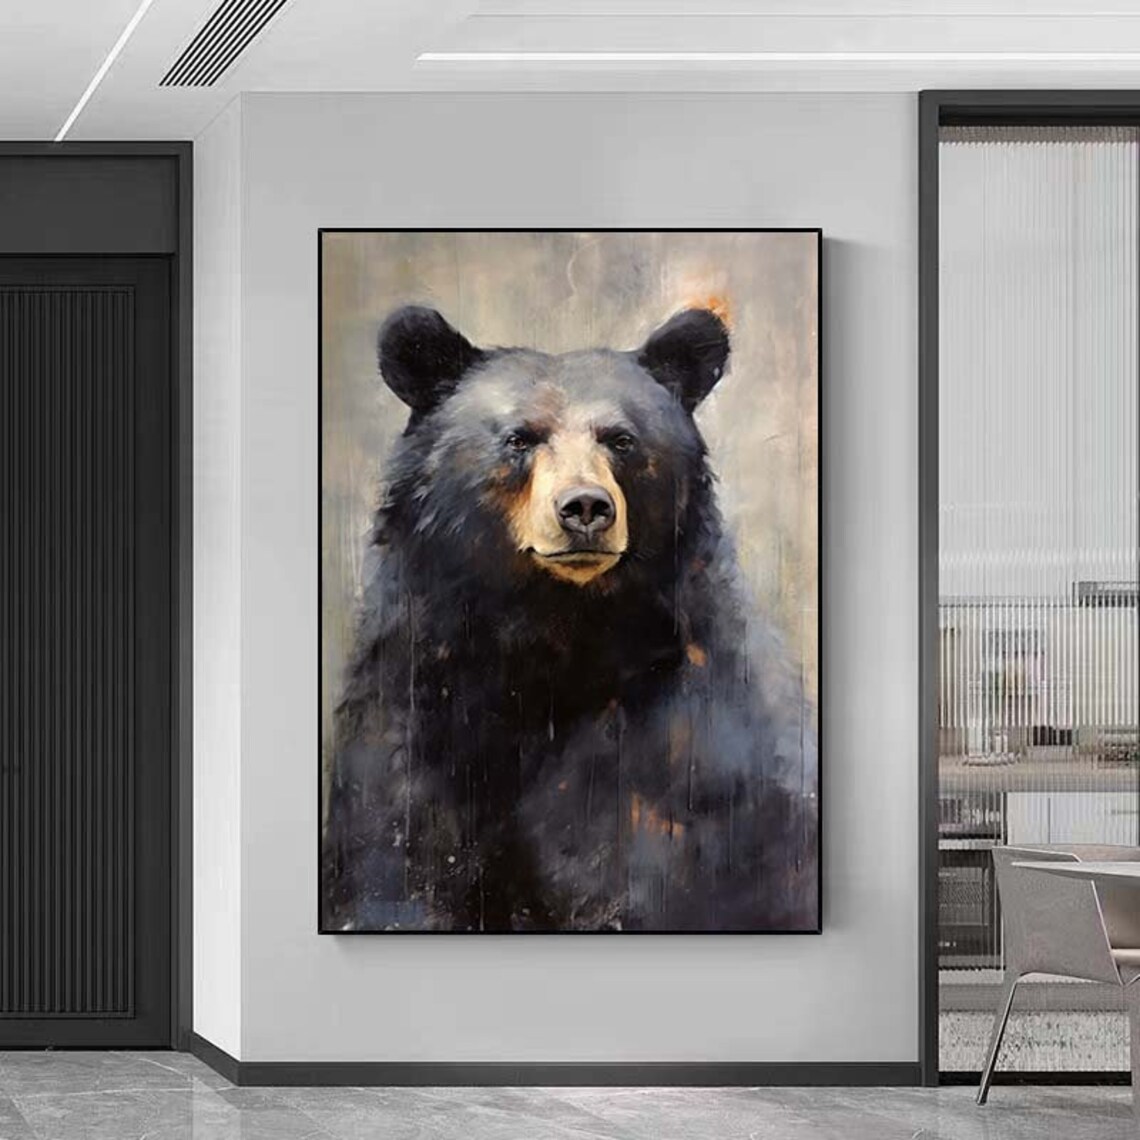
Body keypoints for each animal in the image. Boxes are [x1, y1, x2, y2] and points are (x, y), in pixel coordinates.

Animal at [322, 304, 818, 933]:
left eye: (621, 439)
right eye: (519, 438)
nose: (585, 507)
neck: (554, 638)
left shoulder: (691, 752)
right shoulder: (412, 704)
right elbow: (392, 865)